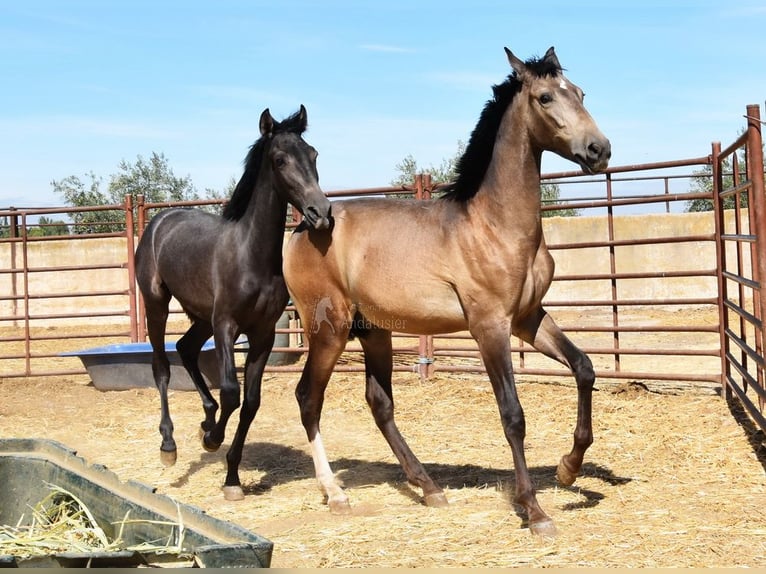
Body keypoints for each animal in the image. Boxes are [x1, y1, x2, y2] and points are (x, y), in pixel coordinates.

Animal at [135, 106, 332, 502]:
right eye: (280, 159)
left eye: (314, 154)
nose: (321, 213)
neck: (250, 255)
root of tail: (160, 219)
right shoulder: (227, 325)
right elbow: (230, 392)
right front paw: (212, 440)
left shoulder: (263, 334)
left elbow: (250, 402)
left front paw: (232, 477)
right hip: (157, 304)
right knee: (161, 366)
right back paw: (170, 445)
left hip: (200, 316)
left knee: (186, 348)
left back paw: (205, 419)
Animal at [282, 47, 612, 536]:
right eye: (546, 97)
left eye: (582, 93)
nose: (599, 150)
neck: (494, 225)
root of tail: (304, 225)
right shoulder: (489, 327)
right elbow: (513, 415)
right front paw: (535, 511)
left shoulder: (528, 319)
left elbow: (585, 368)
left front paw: (569, 468)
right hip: (330, 330)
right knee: (309, 398)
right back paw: (336, 494)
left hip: (374, 331)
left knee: (379, 403)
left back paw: (429, 487)